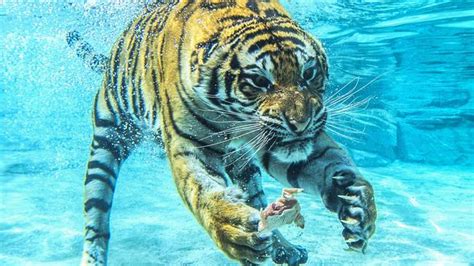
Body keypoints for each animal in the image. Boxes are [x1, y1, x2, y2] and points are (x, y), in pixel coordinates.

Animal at [67, 1, 378, 264]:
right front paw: (232, 229)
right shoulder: (192, 145)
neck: (235, 117)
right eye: (259, 81)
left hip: (243, 165)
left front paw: (357, 205)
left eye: (309, 73)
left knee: (258, 199)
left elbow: (328, 164)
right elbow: (201, 189)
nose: (300, 123)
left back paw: (284, 248)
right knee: (97, 215)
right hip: (109, 137)